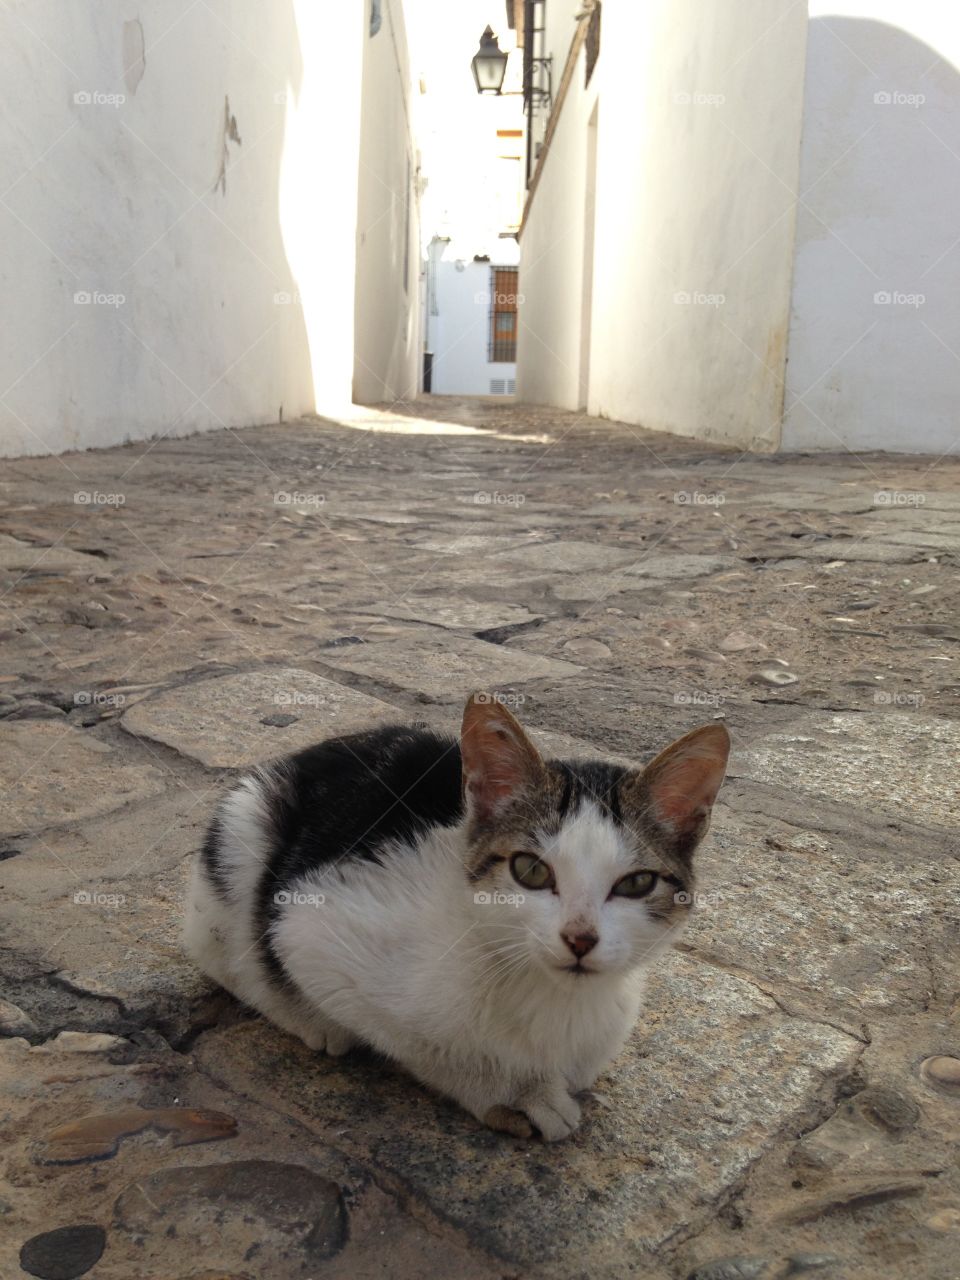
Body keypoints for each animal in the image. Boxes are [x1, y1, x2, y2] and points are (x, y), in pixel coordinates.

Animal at [185, 691, 727, 1141]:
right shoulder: (312, 930)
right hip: (244, 831)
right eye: (530, 870)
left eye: (637, 883)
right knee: (229, 957)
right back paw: (306, 1018)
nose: (579, 938)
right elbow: (421, 1045)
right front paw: (515, 1093)